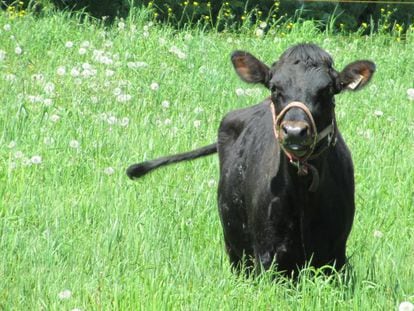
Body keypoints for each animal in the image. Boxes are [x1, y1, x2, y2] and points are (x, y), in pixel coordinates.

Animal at [126, 42, 376, 276]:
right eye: (275, 88)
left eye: (327, 90)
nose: (295, 131)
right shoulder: (266, 255)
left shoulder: (335, 255)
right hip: (233, 246)